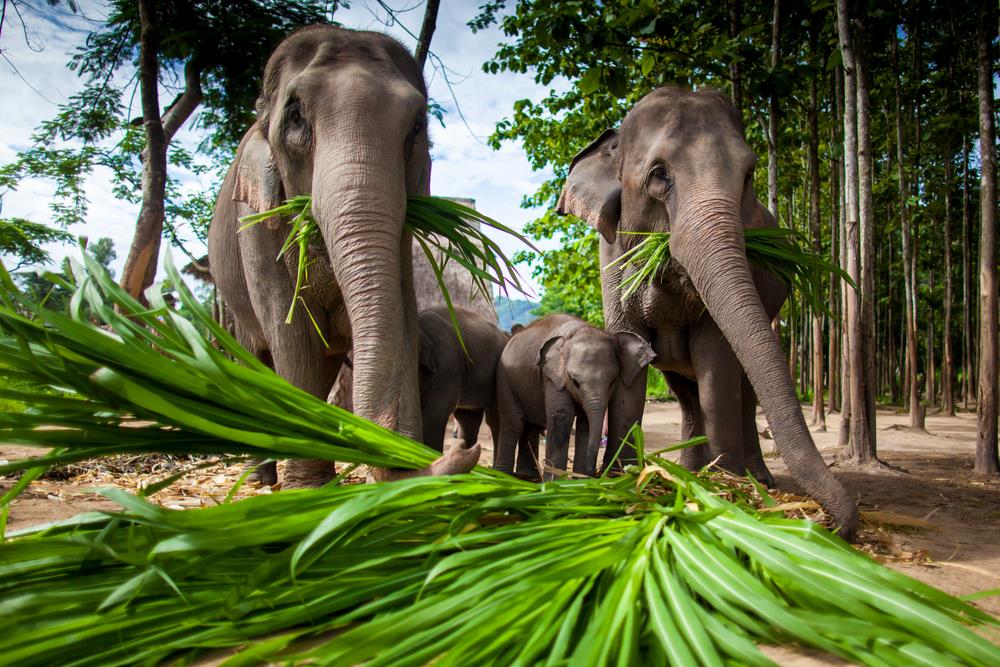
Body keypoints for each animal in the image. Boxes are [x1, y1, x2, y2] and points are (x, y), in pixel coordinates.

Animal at [207, 25, 478, 487]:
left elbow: (401, 315)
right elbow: (291, 331)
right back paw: (260, 478)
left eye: (418, 125)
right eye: (295, 116)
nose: (459, 451)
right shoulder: (256, 221)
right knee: (257, 355)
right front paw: (308, 488)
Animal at [495, 314, 654, 480]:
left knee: (532, 427)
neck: (579, 330)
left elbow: (585, 424)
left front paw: (580, 480)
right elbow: (562, 416)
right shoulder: (552, 377)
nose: (594, 474)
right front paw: (555, 482)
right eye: (574, 381)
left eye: (613, 381)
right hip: (504, 379)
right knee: (513, 423)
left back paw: (529, 476)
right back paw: (502, 476)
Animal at [556, 86, 858, 537]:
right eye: (659, 174)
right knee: (685, 393)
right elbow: (630, 355)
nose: (833, 525)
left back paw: (752, 477)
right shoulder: (609, 258)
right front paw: (624, 478)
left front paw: (726, 486)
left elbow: (717, 360)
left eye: (749, 175)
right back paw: (686, 470)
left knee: (742, 390)